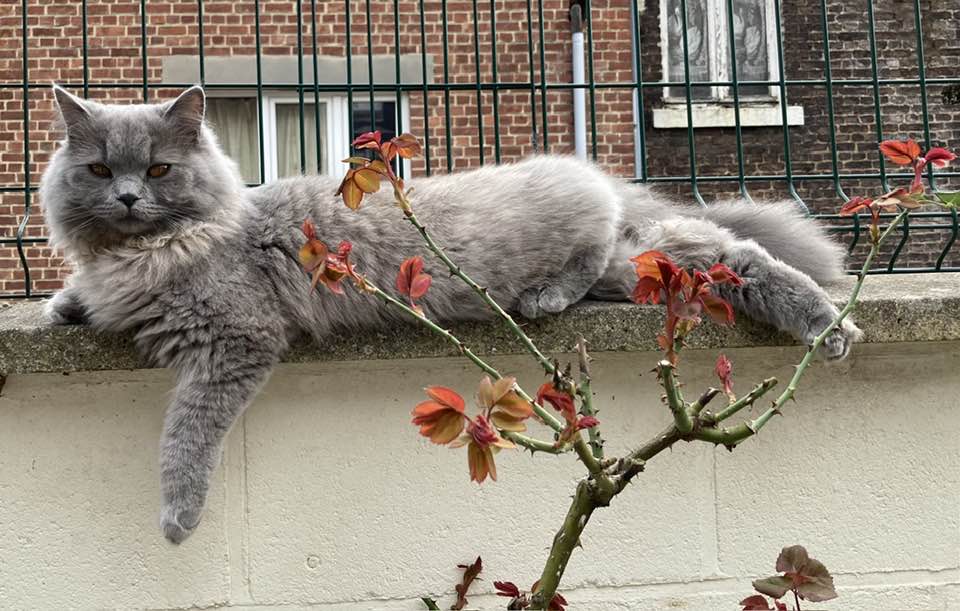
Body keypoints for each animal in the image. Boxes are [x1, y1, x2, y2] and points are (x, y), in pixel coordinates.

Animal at [39, 82, 864, 544]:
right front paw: (61, 305)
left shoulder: (232, 341)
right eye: (100, 169)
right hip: (649, 265)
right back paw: (829, 324)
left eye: (158, 169)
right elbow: (82, 301)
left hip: (585, 245)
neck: (156, 248)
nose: (127, 198)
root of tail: (600, 176)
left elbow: (185, 436)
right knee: (730, 257)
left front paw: (177, 520)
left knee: (609, 249)